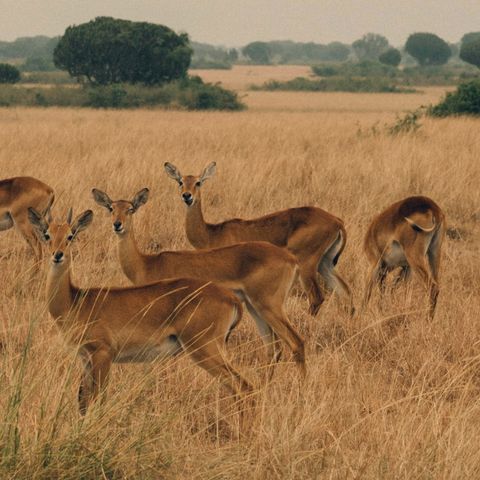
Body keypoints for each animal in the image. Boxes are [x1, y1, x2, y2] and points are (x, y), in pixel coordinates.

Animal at [27, 205, 253, 412]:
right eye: (47, 235)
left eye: (70, 235)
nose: (58, 255)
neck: (75, 301)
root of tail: (231, 298)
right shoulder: (85, 360)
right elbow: (83, 401)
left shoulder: (103, 354)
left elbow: (99, 400)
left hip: (204, 348)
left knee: (243, 386)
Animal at [92, 186, 306, 376]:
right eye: (111, 208)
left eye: (130, 209)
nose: (117, 225)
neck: (146, 264)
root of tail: (291, 259)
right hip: (255, 308)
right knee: (273, 349)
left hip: (268, 306)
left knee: (296, 342)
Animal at [163, 163, 354, 316]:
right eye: (180, 182)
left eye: (198, 182)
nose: (187, 196)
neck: (212, 233)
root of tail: (337, 221)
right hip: (325, 263)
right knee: (345, 291)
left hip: (307, 264)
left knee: (317, 298)